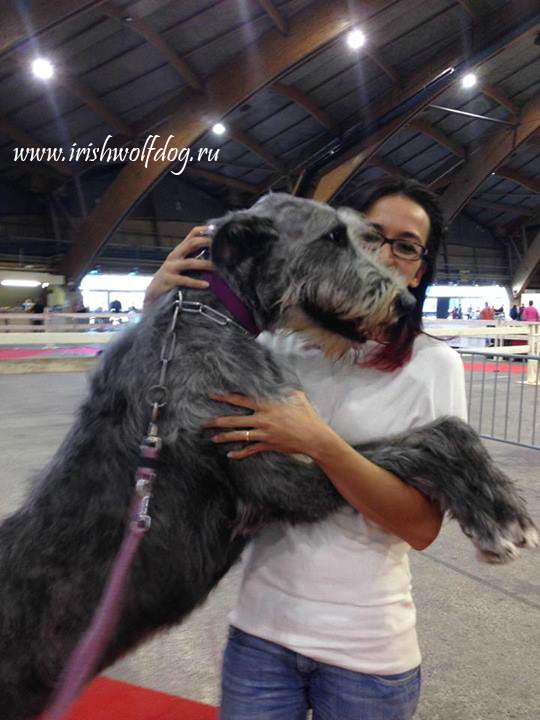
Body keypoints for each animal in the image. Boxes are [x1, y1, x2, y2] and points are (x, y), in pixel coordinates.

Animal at [0, 193, 536, 720]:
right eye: (332, 237)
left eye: (364, 236)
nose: (406, 302)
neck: (204, 315)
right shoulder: (278, 471)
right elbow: (437, 434)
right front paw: (502, 517)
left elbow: (435, 433)